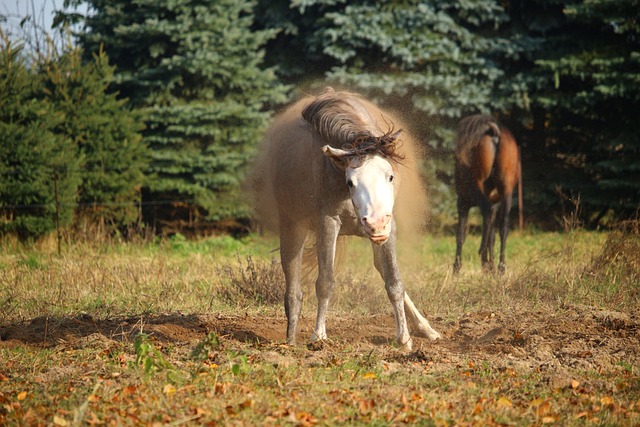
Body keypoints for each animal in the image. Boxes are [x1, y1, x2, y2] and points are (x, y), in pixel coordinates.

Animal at [250, 88, 440, 352]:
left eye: (390, 176)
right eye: (351, 182)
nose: (375, 223)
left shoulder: (389, 229)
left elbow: (394, 281)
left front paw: (404, 339)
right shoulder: (328, 223)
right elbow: (325, 282)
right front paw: (318, 336)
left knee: (383, 271)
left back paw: (425, 328)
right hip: (293, 228)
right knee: (293, 286)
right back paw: (291, 339)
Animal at [452, 114, 524, 274]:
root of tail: (494, 133)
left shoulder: (462, 201)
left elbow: (461, 234)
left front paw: (456, 268)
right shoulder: (496, 201)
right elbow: (493, 233)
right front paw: (491, 265)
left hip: (476, 186)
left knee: (487, 210)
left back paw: (483, 258)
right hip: (507, 190)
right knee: (503, 226)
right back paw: (500, 266)